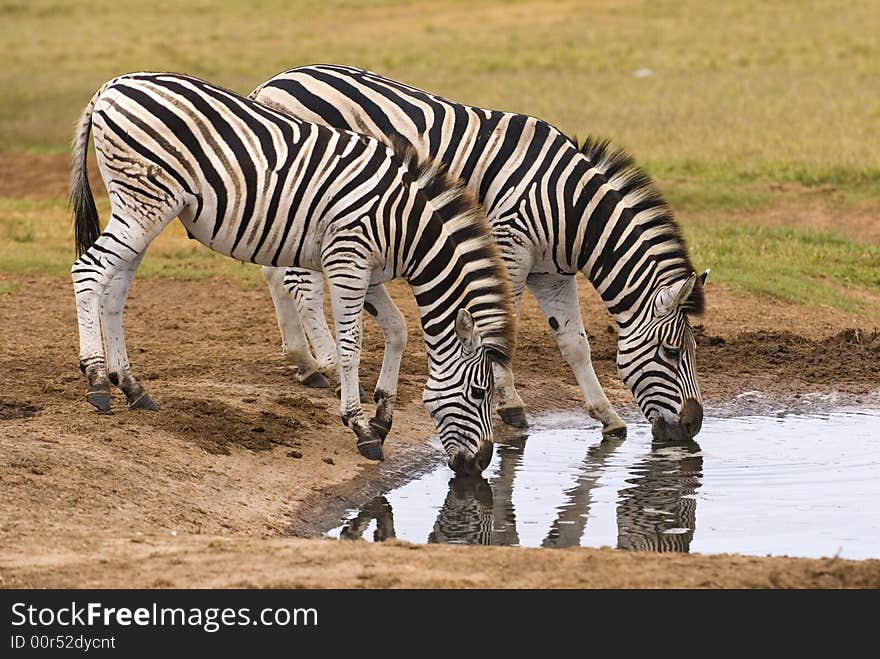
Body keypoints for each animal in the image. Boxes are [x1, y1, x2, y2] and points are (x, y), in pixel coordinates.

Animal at [70, 71, 516, 474]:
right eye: (480, 391)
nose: (482, 463)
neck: (405, 224)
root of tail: (111, 86)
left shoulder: (369, 272)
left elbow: (398, 330)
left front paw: (382, 417)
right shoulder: (347, 259)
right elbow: (351, 346)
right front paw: (360, 427)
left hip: (142, 211)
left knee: (114, 290)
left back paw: (132, 386)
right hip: (143, 205)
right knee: (88, 271)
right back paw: (97, 380)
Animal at [248, 64, 708, 444]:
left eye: (692, 352)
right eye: (671, 352)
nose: (692, 426)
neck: (572, 208)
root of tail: (270, 84)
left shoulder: (552, 273)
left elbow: (575, 343)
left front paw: (607, 417)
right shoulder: (511, 248)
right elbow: (504, 327)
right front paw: (512, 406)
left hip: (288, 211)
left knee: (277, 274)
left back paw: (305, 362)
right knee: (301, 284)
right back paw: (327, 364)